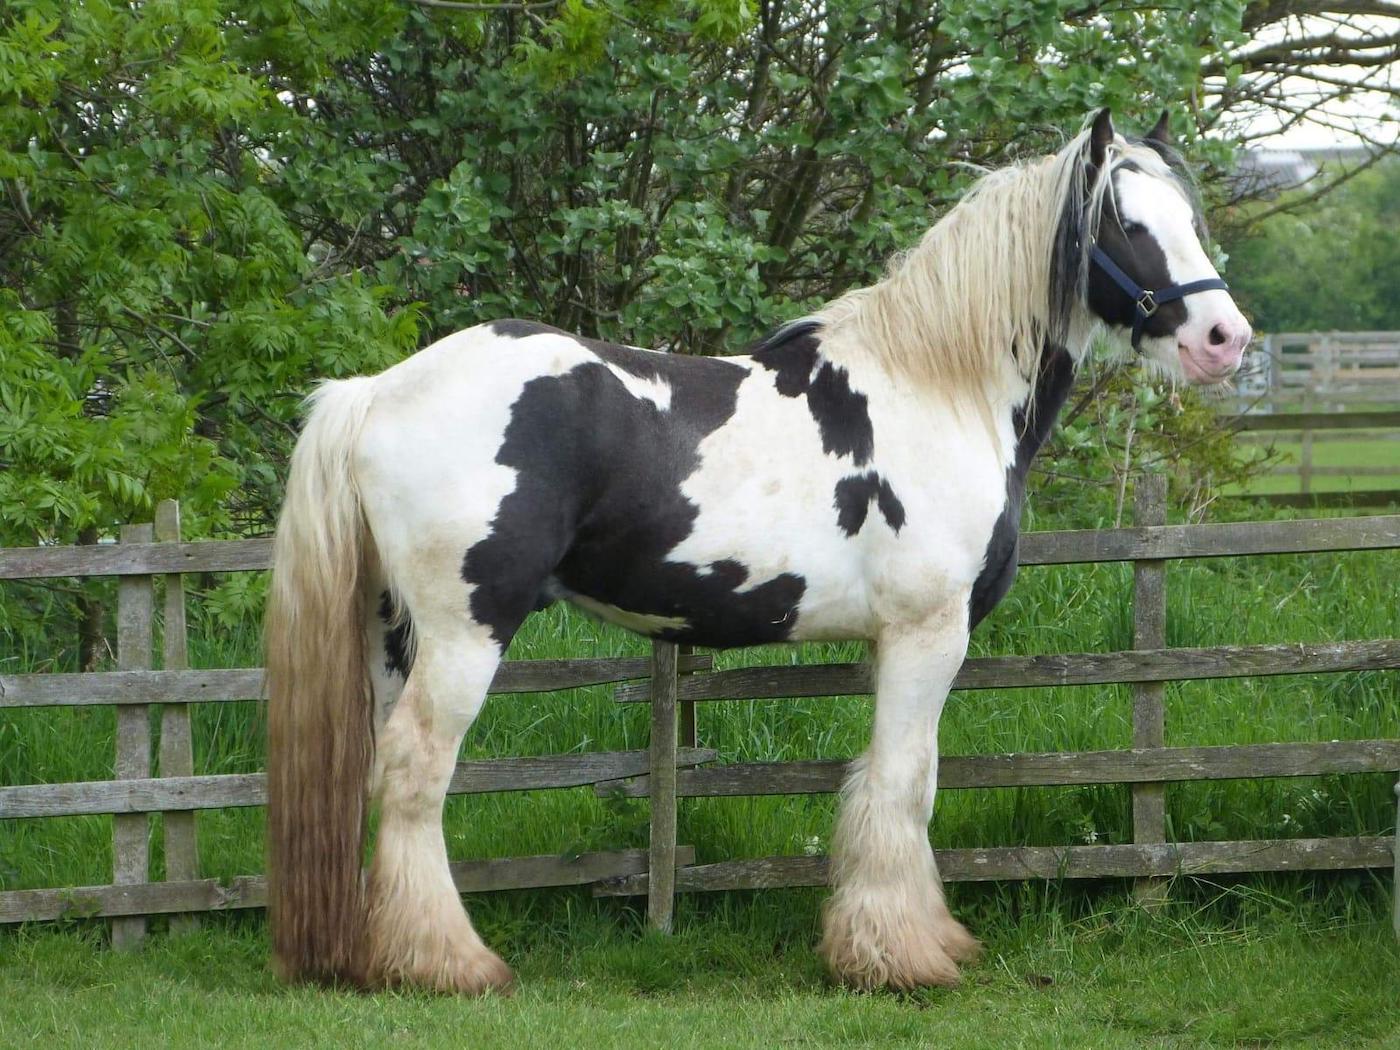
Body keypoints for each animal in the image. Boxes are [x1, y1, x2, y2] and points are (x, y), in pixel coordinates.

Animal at [263, 109, 1251, 994]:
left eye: (1188, 217)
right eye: (1127, 224)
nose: (1225, 339)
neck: (937, 387)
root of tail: (376, 390)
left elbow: (902, 783)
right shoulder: (927, 633)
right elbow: (903, 784)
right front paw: (900, 959)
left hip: (393, 636)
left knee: (378, 773)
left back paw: (379, 953)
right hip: (466, 633)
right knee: (416, 771)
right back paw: (451, 964)